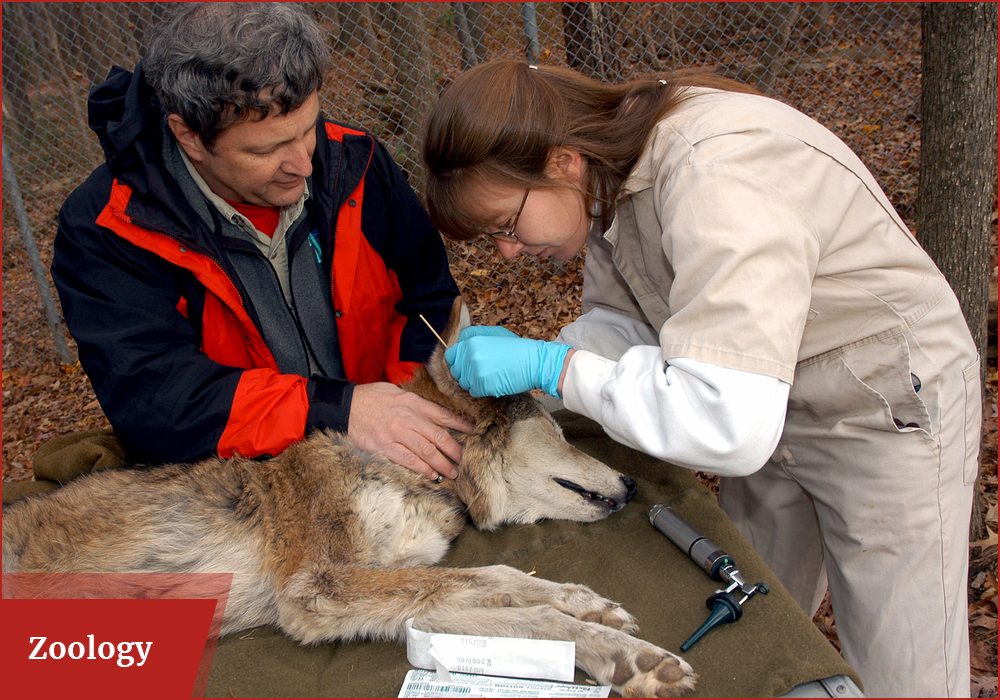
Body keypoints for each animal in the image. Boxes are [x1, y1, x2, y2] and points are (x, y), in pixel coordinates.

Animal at [1, 300, 696, 696]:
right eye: (557, 428)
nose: (635, 484)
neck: (415, 476)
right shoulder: (320, 586)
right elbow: (499, 575)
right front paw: (606, 629)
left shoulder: (390, 592)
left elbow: (523, 608)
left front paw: (618, 645)